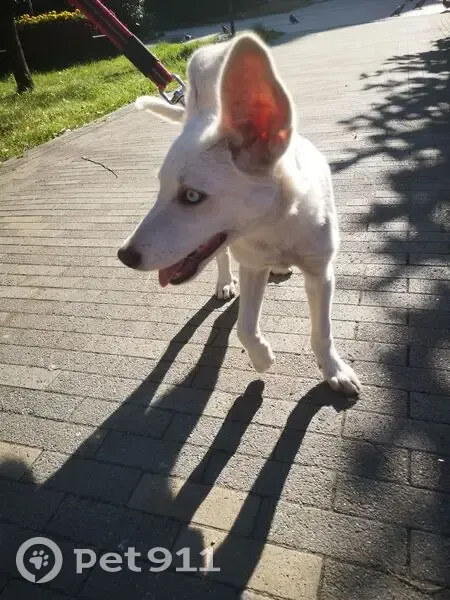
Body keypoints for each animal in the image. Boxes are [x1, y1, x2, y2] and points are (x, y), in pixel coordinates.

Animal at [118, 33, 361, 395]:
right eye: (161, 187)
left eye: (192, 196)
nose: (124, 256)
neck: (274, 227)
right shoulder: (252, 266)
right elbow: (244, 326)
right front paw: (262, 359)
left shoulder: (321, 273)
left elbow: (323, 331)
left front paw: (334, 370)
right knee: (221, 258)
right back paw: (224, 283)